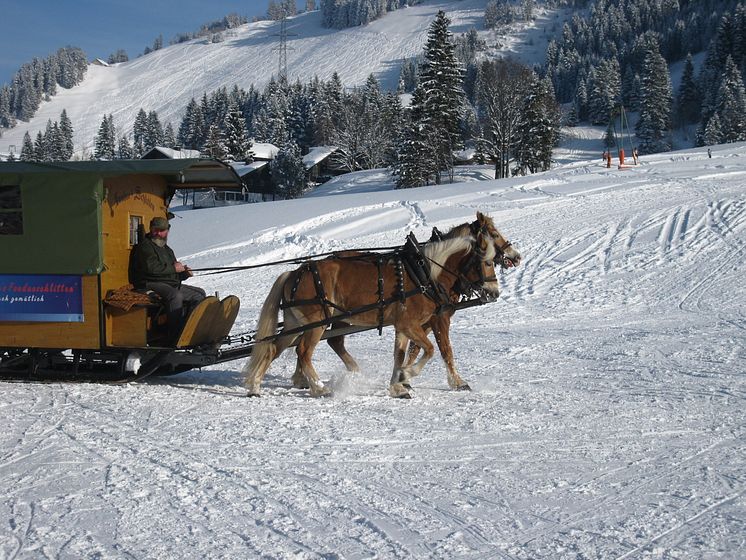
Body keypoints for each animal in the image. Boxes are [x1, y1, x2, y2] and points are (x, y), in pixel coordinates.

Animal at [244, 217, 506, 400]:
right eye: (487, 261)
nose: (495, 292)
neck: (424, 272)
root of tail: (293, 273)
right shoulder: (418, 322)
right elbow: (435, 350)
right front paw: (409, 376)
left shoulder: (403, 326)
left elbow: (400, 355)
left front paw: (398, 385)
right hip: (314, 324)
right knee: (304, 352)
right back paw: (319, 389)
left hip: (295, 323)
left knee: (273, 348)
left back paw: (255, 386)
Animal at [310, 212, 524, 392]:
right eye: (494, 234)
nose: (517, 257)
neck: (428, 272)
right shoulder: (439, 318)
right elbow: (445, 350)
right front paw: (456, 382)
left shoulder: (423, 320)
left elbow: (413, 349)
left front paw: (403, 376)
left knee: (334, 341)